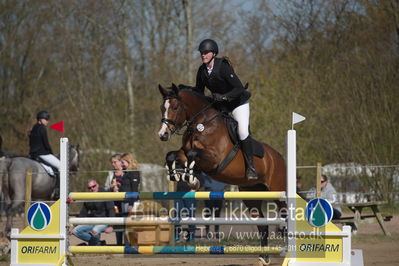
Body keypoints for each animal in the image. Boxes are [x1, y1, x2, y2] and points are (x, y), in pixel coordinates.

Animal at [159, 84, 288, 264]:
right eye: (161, 108)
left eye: (175, 107)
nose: (162, 134)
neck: (201, 124)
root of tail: (278, 157)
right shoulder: (184, 153)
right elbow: (172, 155)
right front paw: (177, 175)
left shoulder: (214, 158)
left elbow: (192, 154)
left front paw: (192, 179)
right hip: (251, 195)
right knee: (262, 225)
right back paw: (264, 257)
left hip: (278, 191)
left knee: (286, 216)